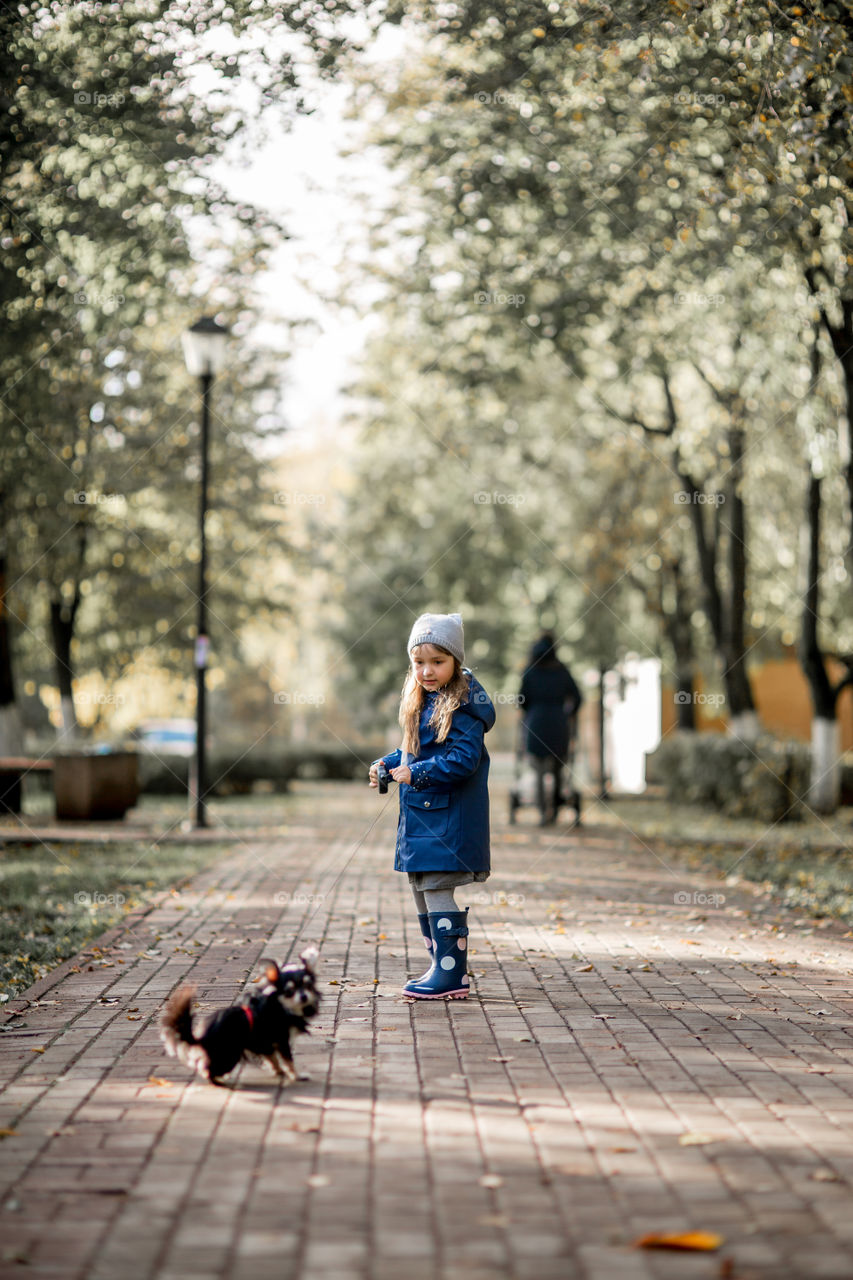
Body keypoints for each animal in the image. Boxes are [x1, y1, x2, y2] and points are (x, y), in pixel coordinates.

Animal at [159, 947, 318, 1085]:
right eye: (289, 991)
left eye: (308, 986)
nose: (304, 996)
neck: (279, 1004)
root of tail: (199, 1036)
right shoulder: (281, 1039)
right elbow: (288, 1061)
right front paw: (297, 1076)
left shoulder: (265, 1043)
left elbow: (273, 1059)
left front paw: (279, 1071)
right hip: (229, 1055)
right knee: (209, 1070)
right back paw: (220, 1080)